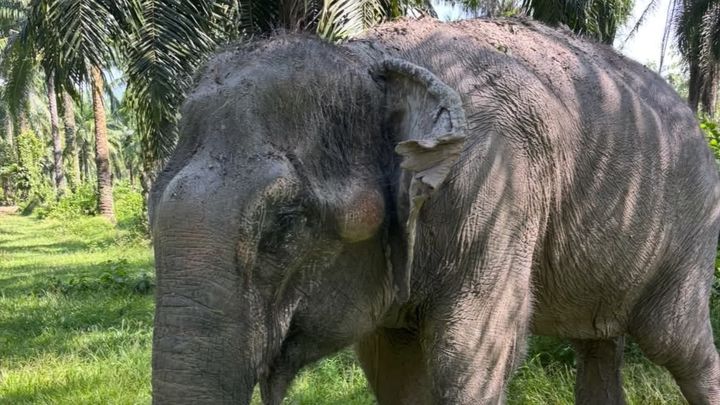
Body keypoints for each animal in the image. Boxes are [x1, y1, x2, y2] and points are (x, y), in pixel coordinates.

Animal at [149, 17, 720, 405]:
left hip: (691, 229)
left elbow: (470, 355)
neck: (370, 59)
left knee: (677, 342)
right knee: (598, 343)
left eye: (285, 224)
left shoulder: (497, 187)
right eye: (152, 208)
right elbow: (392, 368)